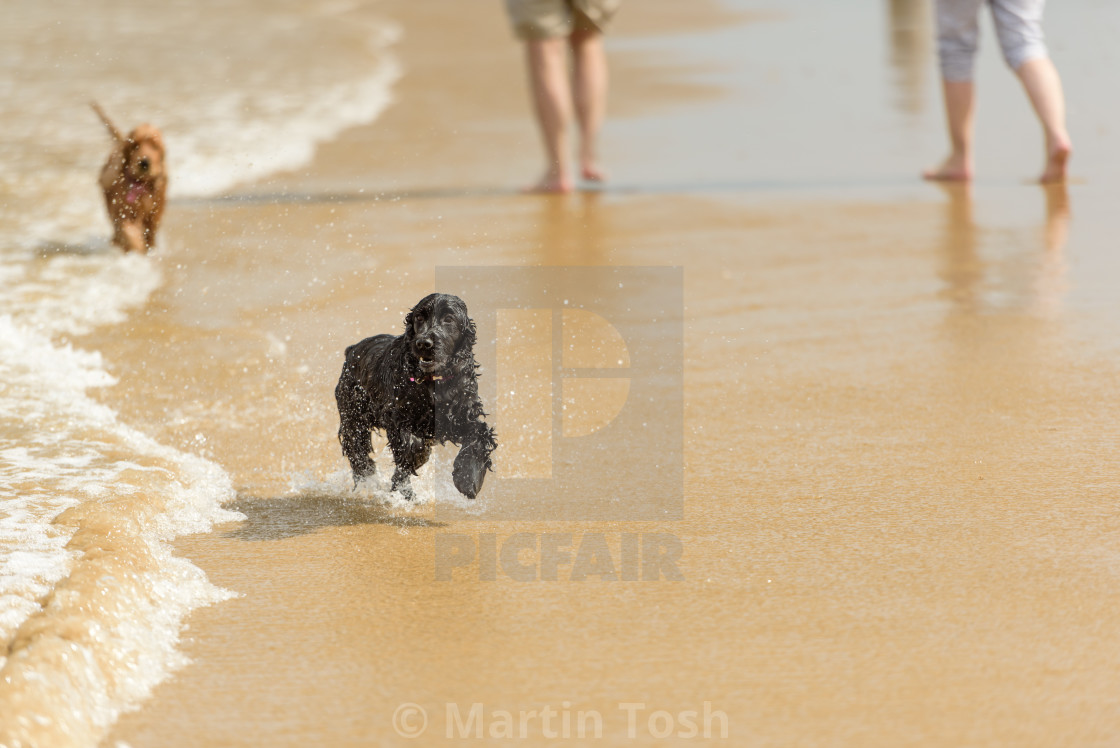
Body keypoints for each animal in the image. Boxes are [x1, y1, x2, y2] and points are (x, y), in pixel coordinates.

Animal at [92, 102, 165, 254]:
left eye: (154, 146)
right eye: (135, 146)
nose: (144, 162)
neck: (140, 185)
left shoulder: (153, 215)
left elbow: (149, 235)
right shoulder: (122, 213)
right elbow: (130, 233)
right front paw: (137, 248)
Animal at [333, 295, 497, 499]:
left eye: (449, 319)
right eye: (419, 317)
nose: (424, 343)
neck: (433, 383)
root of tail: (352, 349)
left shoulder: (460, 416)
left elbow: (479, 434)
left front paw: (468, 479)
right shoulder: (398, 416)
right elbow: (411, 445)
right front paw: (419, 455)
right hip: (353, 417)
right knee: (358, 451)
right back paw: (371, 485)